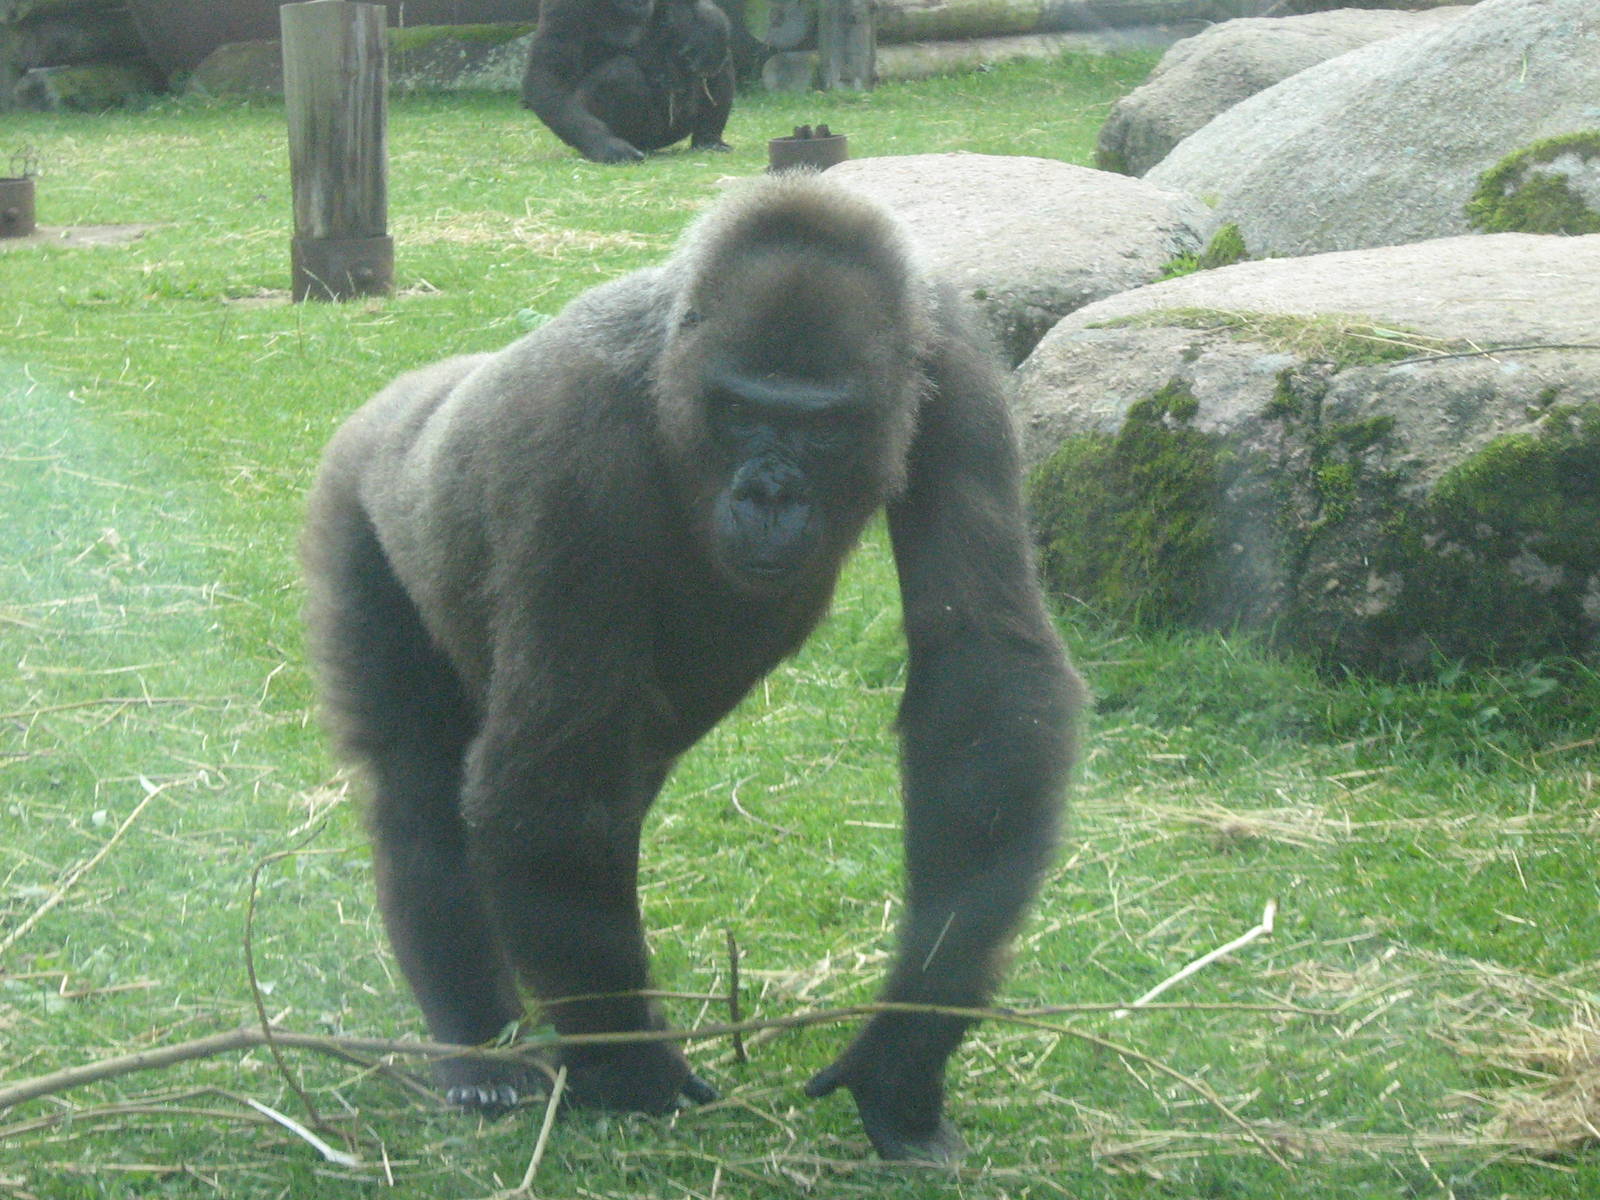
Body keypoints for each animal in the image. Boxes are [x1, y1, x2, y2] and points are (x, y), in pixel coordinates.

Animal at [301, 173, 1081, 1163]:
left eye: (822, 426)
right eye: (742, 411)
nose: (770, 493)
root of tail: (406, 392)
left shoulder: (957, 370)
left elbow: (982, 670)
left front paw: (909, 1039)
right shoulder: (569, 434)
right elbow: (548, 770)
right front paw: (629, 1067)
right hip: (356, 494)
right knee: (421, 789)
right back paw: (480, 1044)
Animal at [521, 0, 734, 163]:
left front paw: (710, 24)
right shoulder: (564, 6)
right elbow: (548, 77)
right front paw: (608, 147)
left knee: (718, 57)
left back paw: (708, 139)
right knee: (620, 74)